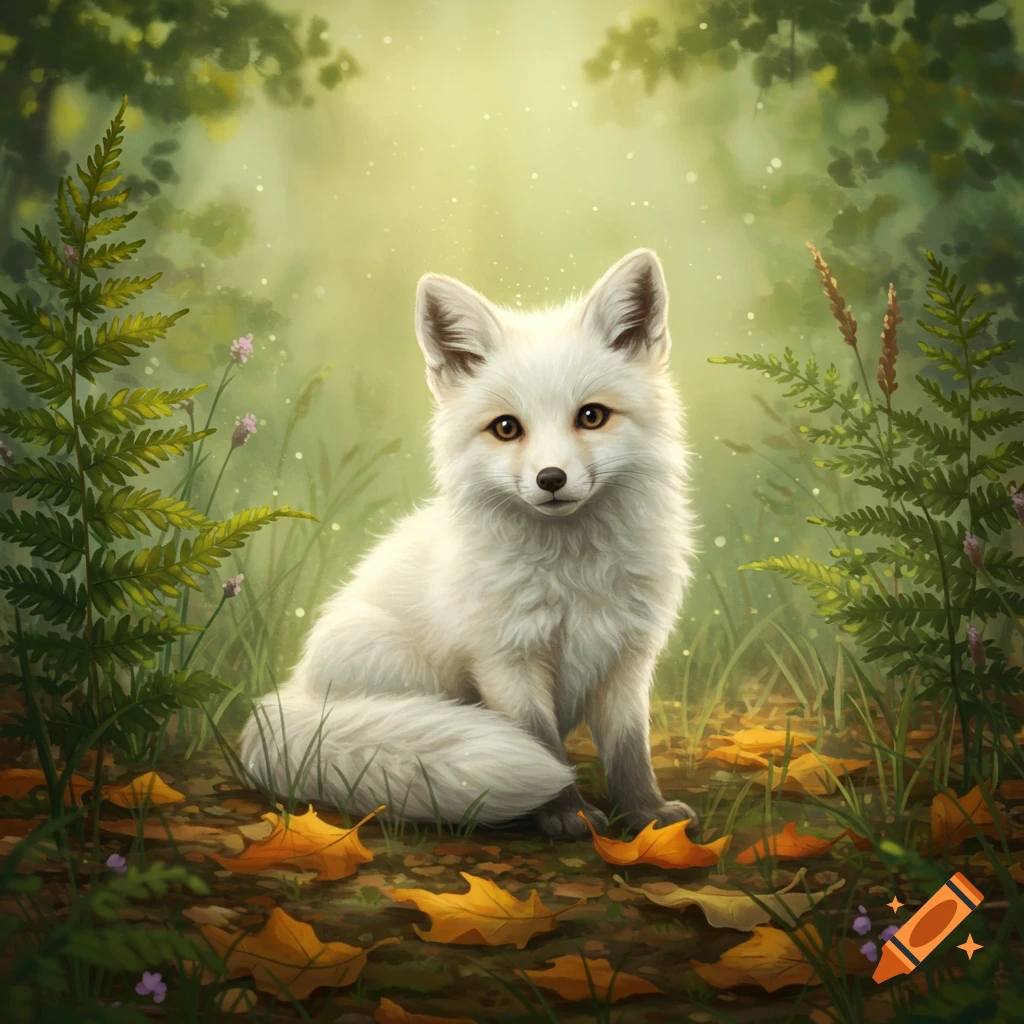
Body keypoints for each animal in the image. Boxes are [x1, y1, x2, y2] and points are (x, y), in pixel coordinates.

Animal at [238, 248, 699, 840]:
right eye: (506, 428)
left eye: (591, 416)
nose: (551, 479)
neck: (575, 576)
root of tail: (290, 694)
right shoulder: (506, 659)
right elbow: (540, 742)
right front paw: (565, 812)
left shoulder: (626, 657)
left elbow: (629, 751)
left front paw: (647, 819)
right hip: (403, 669)